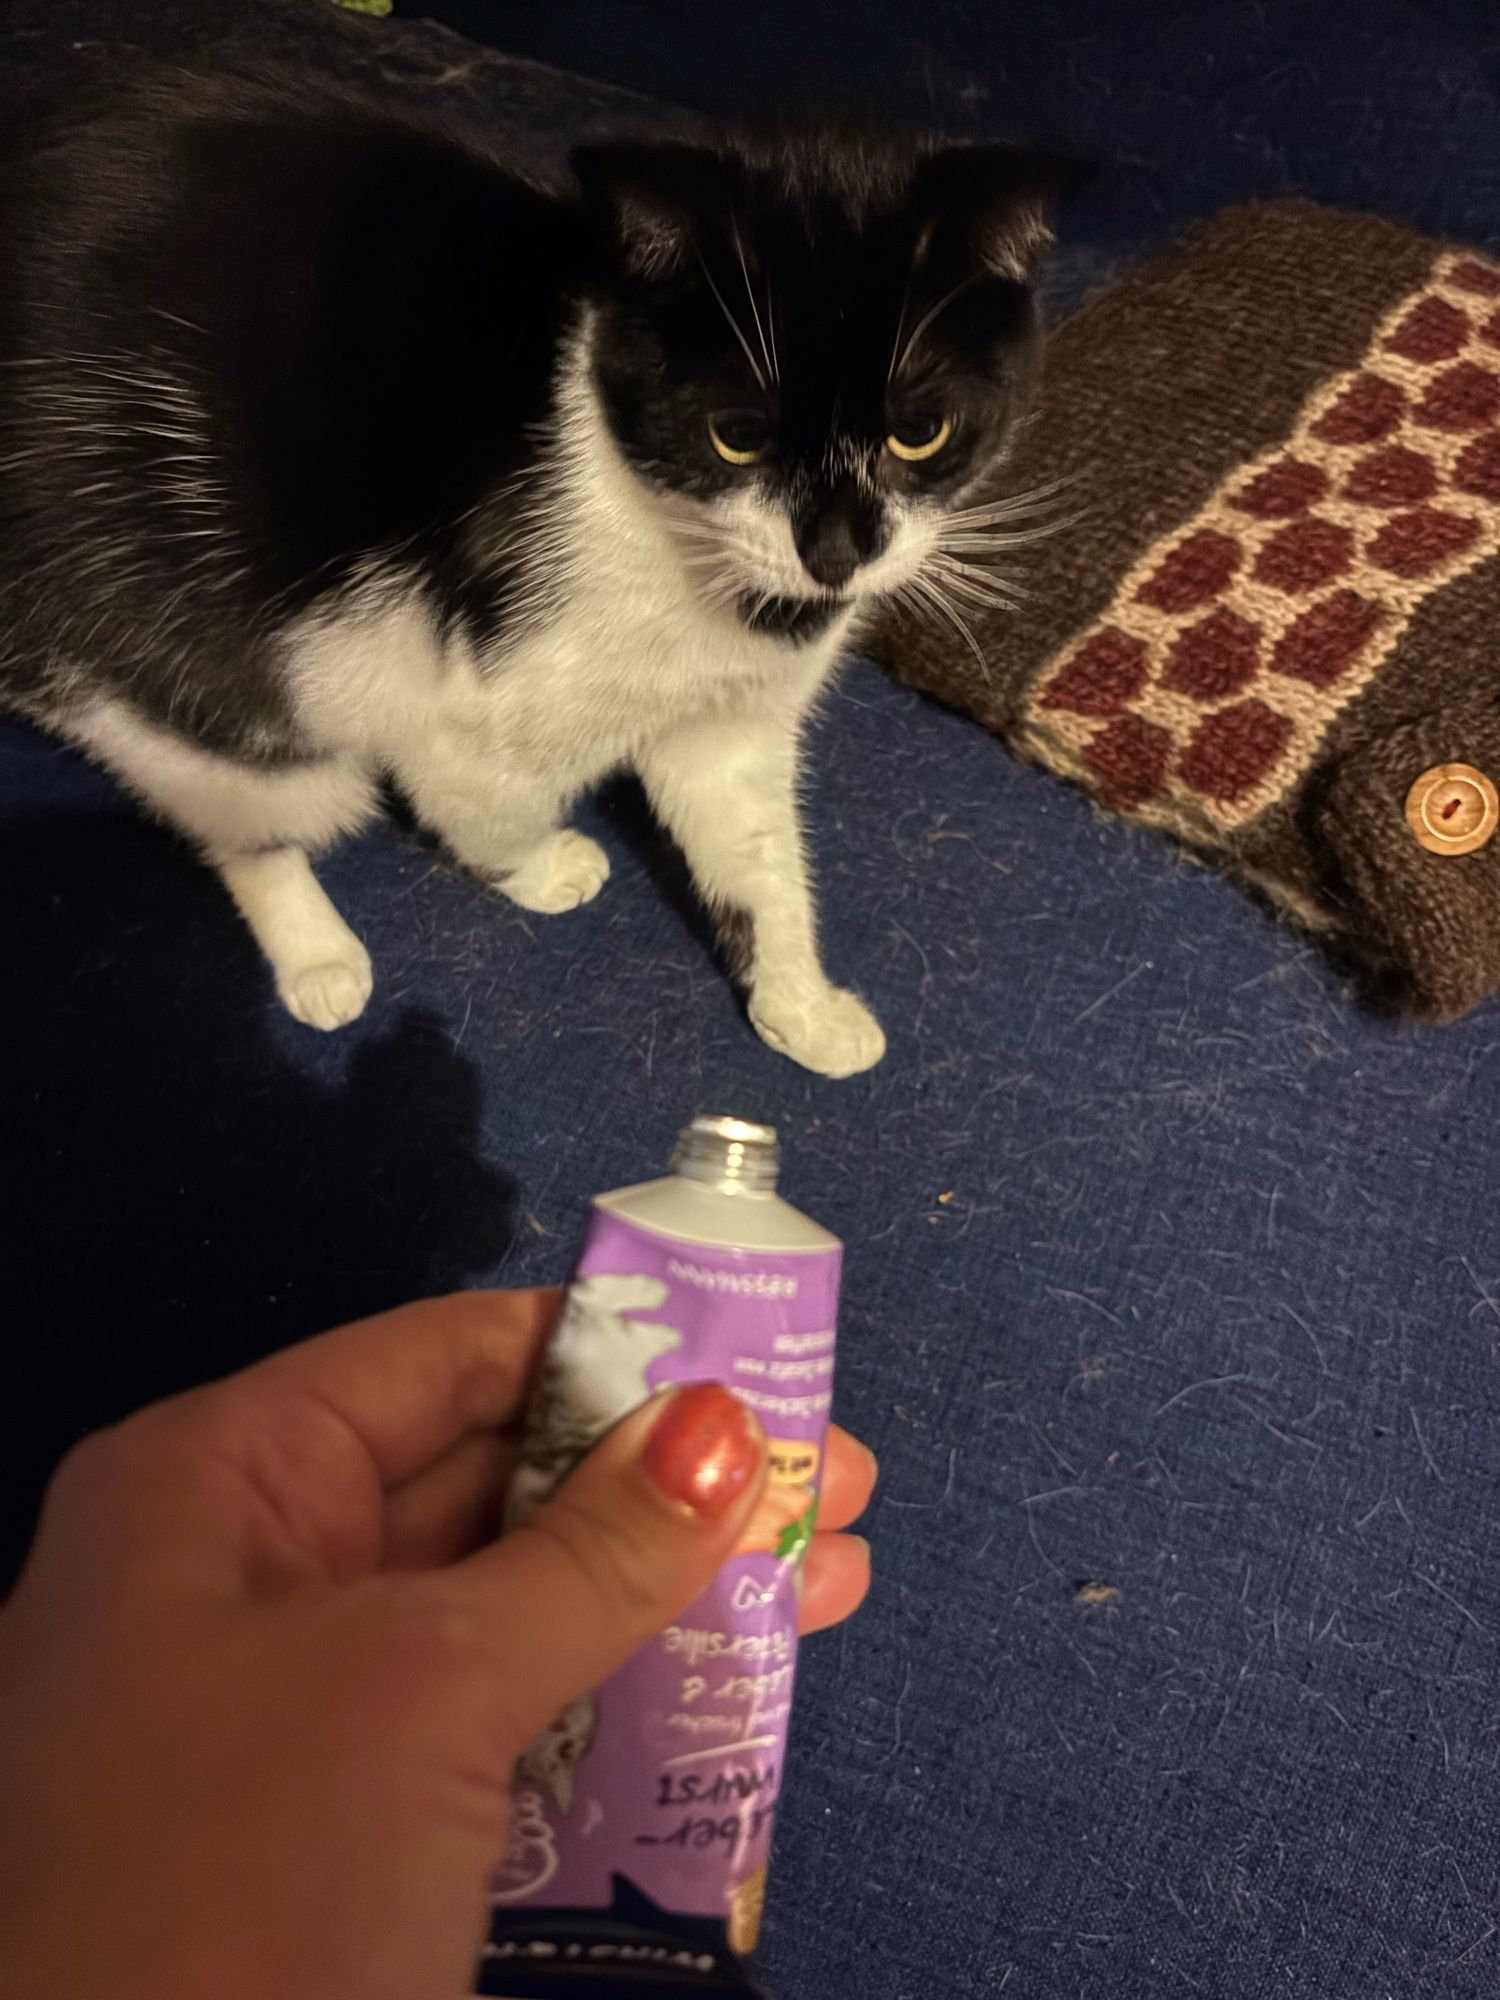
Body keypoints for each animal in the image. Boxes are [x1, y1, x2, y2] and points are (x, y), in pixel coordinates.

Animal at [0, 70, 1080, 1080]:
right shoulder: (445, 688)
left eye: (920, 430)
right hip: (182, 664)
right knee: (244, 800)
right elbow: (481, 798)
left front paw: (801, 1008)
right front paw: (538, 866)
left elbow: (758, 861)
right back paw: (318, 955)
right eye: (736, 436)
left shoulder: (731, 721)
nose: (837, 552)